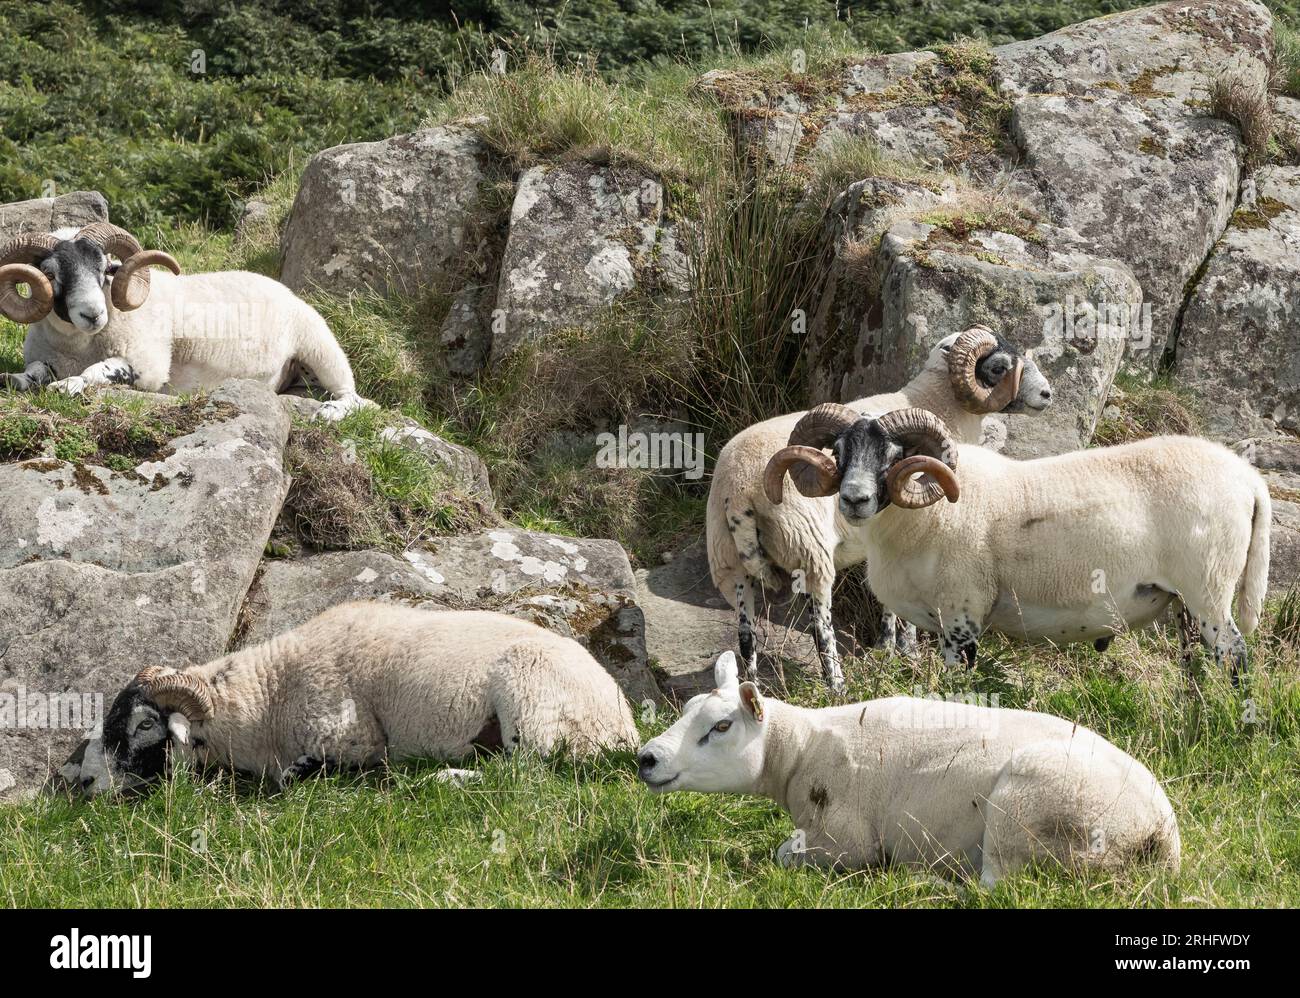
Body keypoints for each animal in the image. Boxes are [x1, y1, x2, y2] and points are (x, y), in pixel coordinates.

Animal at [1, 223, 377, 418]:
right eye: (50, 273)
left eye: (106, 268)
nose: (93, 314)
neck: (79, 346)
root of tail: (285, 289)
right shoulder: (46, 357)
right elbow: (34, 372)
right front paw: (13, 379)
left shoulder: (149, 367)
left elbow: (101, 371)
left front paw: (69, 385)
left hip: (321, 349)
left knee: (357, 399)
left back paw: (329, 412)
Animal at [61, 600, 639, 795]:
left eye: (144, 725)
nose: (85, 781)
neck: (269, 697)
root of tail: (624, 725)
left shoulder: (354, 738)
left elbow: (302, 775)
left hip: (529, 696)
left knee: (529, 774)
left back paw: (443, 777)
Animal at [634, 649, 1185, 883]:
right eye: (688, 709)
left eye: (722, 726)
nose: (646, 758)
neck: (799, 749)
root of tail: (1159, 836)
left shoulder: (844, 841)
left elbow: (786, 855)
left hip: (1024, 810)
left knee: (997, 888)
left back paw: (924, 879)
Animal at [707, 323, 1050, 691]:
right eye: (999, 367)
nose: (1047, 394)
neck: (936, 404)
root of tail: (739, 489)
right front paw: (906, 649)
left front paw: (887, 648)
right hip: (810, 550)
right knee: (820, 628)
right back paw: (838, 687)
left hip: (729, 563)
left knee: (746, 637)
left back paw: (752, 691)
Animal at [759, 405, 1268, 675]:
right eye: (838, 451)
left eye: (895, 454)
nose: (854, 499)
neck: (926, 515)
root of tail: (1248, 479)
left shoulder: (962, 618)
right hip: (1183, 602)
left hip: (1209, 587)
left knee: (1235, 655)